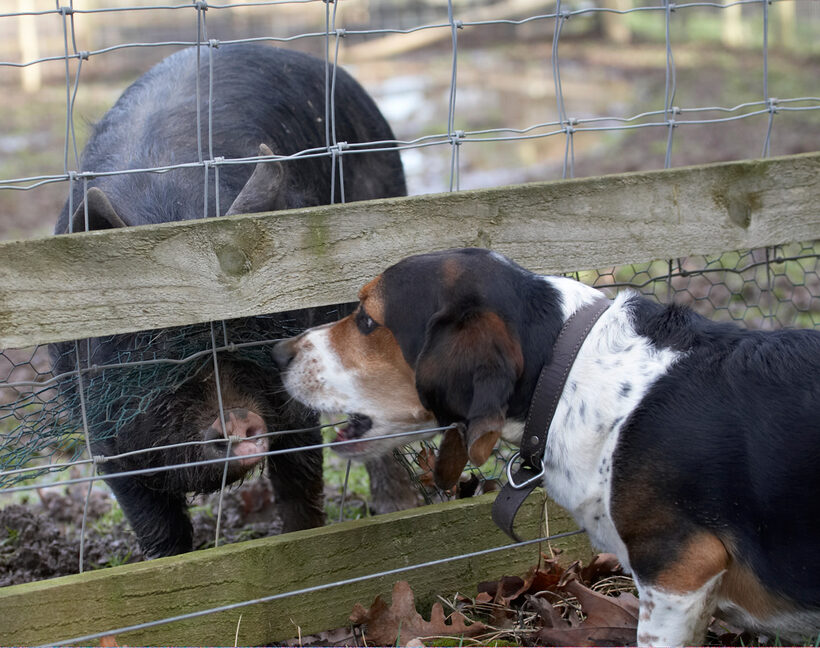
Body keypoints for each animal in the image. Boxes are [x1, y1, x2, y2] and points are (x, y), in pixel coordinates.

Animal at [50, 43, 406, 558]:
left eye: (249, 331)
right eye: (152, 348)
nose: (236, 419)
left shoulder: (289, 400)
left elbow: (299, 486)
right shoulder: (105, 435)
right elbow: (157, 528)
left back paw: (398, 508)